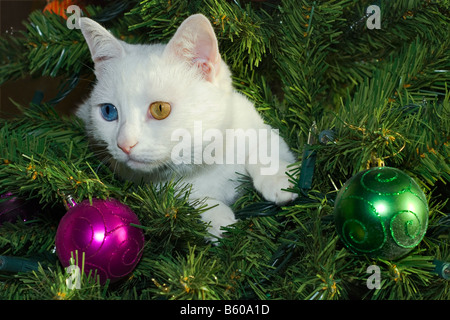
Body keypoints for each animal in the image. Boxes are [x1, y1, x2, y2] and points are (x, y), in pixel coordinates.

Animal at [75, 14, 298, 240]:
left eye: (160, 109)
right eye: (109, 112)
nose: (124, 144)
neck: (206, 163)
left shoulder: (250, 120)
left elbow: (264, 145)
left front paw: (277, 177)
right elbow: (183, 198)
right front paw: (215, 217)